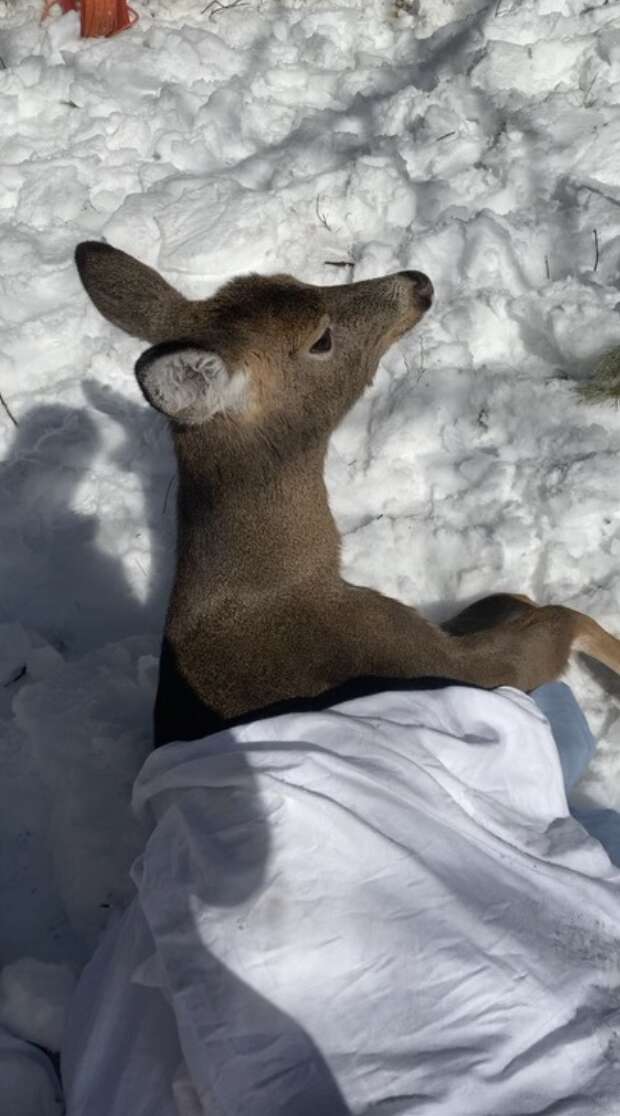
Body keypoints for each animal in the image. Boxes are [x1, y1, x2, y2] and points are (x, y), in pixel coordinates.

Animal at [75, 241, 620, 746]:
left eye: (293, 279)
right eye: (320, 339)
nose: (418, 282)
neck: (280, 585)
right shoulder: (428, 661)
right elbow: (559, 623)